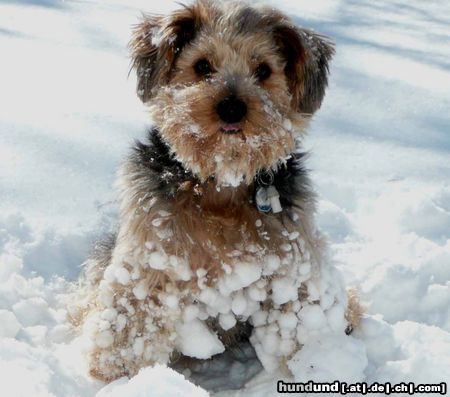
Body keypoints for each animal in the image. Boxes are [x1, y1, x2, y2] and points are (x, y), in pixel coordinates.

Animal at [74, 0, 362, 384]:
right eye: (201, 66)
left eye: (264, 70)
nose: (231, 107)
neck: (222, 183)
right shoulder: (151, 256)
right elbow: (133, 315)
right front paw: (118, 376)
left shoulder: (291, 263)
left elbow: (299, 321)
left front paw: (318, 365)